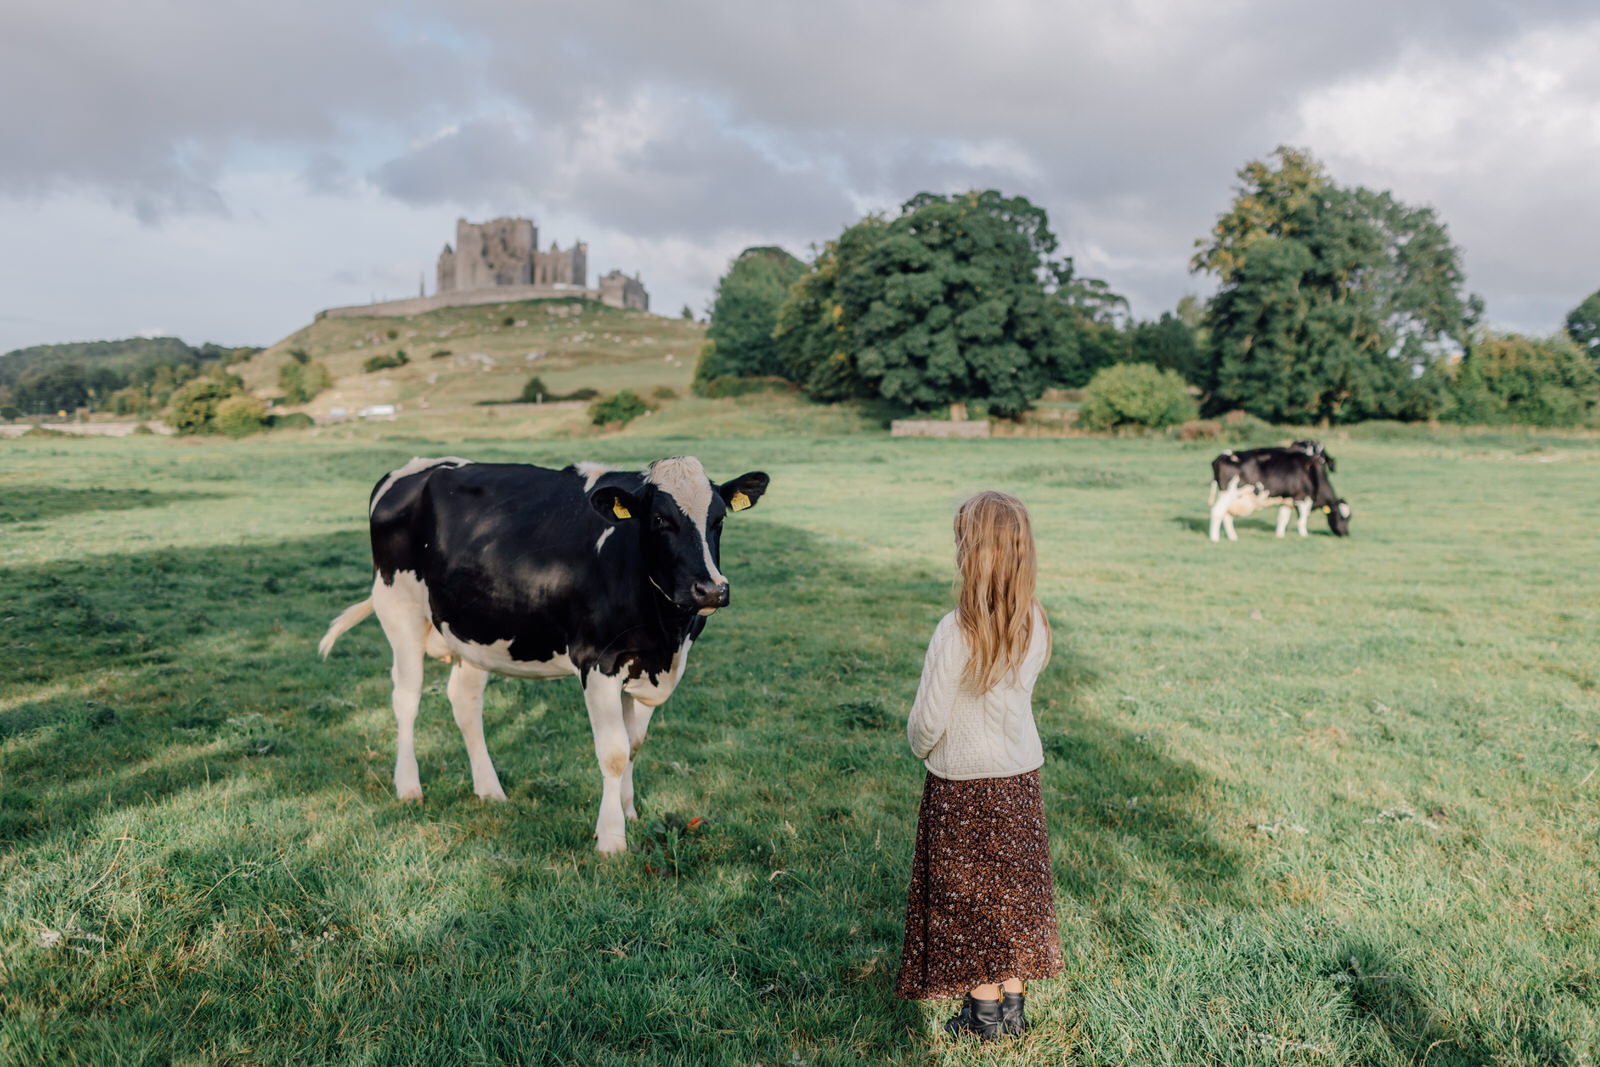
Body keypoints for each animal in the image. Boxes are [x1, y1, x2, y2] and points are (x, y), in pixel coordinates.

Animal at [318, 454, 768, 857]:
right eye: (660, 520)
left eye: (719, 520)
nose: (710, 589)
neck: (666, 635)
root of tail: (411, 469)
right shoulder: (598, 660)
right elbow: (614, 753)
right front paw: (611, 840)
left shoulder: (646, 665)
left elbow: (634, 744)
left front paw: (628, 812)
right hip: (401, 612)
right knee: (406, 700)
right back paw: (409, 787)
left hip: (475, 633)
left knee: (464, 703)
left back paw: (490, 790)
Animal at [1203, 441, 1344, 543]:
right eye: (1341, 517)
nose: (1345, 533)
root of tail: (1224, 455)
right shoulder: (1303, 498)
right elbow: (1302, 520)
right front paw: (1304, 536)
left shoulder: (1287, 500)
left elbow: (1283, 518)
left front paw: (1280, 536)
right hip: (1229, 492)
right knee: (1217, 512)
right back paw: (1214, 539)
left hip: (1232, 497)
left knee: (1226, 515)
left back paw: (1233, 537)